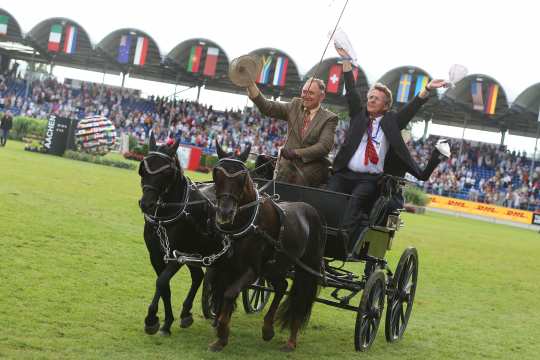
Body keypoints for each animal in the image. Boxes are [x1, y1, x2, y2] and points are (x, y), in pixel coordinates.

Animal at [139, 135, 224, 334]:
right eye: (143, 169)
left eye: (166, 173)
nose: (146, 204)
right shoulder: (156, 255)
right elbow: (164, 287)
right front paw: (167, 322)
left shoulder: (177, 255)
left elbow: (161, 282)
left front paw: (151, 318)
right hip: (197, 253)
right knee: (199, 277)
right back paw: (186, 313)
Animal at [207, 143, 324, 352]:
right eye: (216, 173)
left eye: (242, 177)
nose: (225, 213)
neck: (248, 222)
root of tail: (311, 210)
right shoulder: (226, 266)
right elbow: (223, 294)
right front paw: (221, 334)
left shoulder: (252, 270)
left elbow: (229, 294)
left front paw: (222, 334)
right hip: (275, 266)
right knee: (282, 286)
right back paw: (268, 328)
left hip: (304, 268)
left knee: (299, 297)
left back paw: (291, 341)